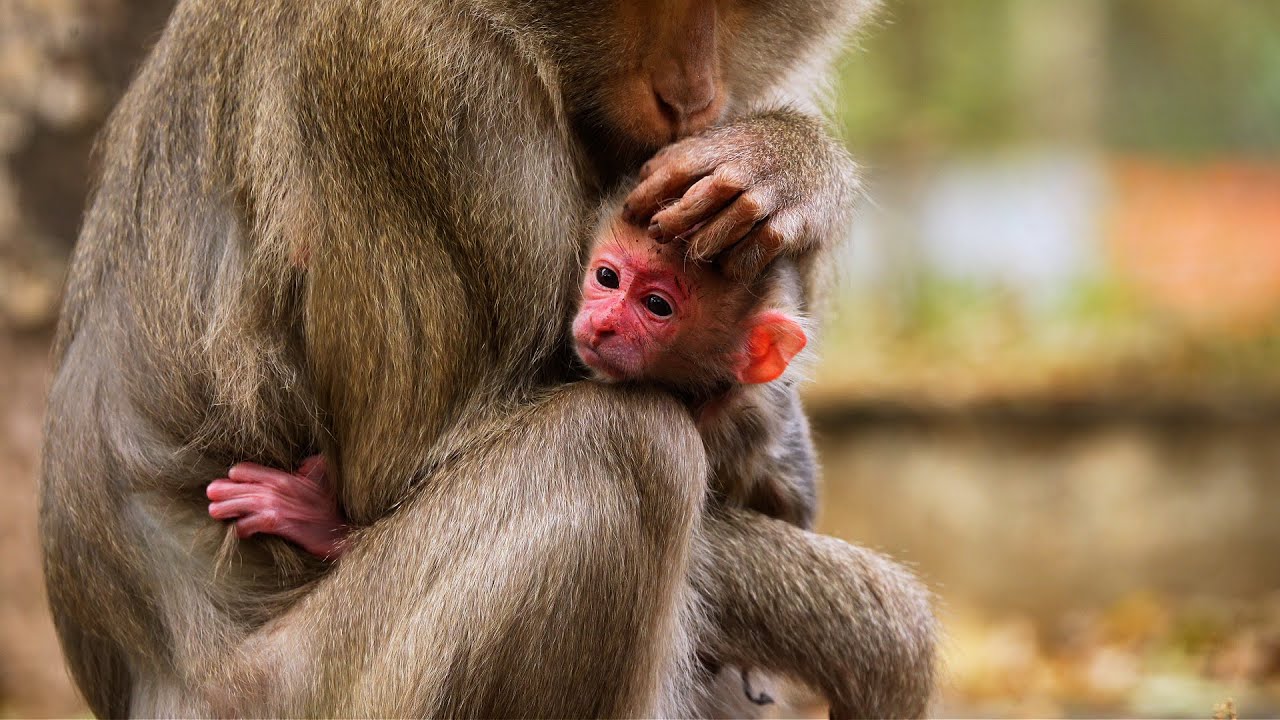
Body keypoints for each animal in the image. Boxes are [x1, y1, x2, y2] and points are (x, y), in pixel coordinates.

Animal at [40, 0, 935, 717]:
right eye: (610, 281)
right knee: (627, 448)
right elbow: (396, 478)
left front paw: (788, 162)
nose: (688, 98)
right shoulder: (404, 72)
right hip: (309, 692)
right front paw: (877, 635)